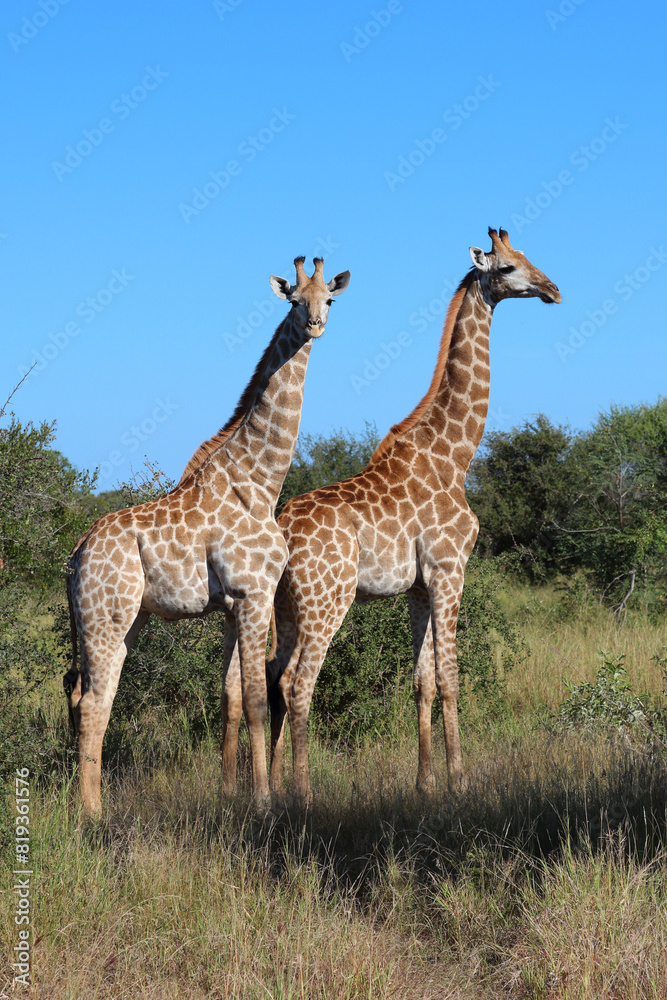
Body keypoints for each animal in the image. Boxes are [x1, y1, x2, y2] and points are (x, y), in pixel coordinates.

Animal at [64, 256, 351, 817]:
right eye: (293, 300)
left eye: (329, 298)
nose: (314, 325)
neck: (259, 481)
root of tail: (76, 555)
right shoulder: (253, 593)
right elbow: (260, 700)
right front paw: (263, 803)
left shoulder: (232, 606)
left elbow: (232, 699)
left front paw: (230, 793)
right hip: (106, 616)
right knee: (92, 701)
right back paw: (92, 815)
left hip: (123, 621)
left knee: (91, 697)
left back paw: (94, 805)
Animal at [261, 229, 560, 803]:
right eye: (508, 268)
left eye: (529, 257)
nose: (553, 290)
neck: (456, 455)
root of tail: (282, 529)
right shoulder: (449, 569)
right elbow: (451, 676)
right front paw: (460, 779)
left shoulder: (419, 585)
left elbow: (420, 681)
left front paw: (425, 783)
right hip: (327, 600)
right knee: (298, 682)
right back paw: (303, 794)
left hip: (285, 605)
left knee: (271, 678)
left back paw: (274, 788)